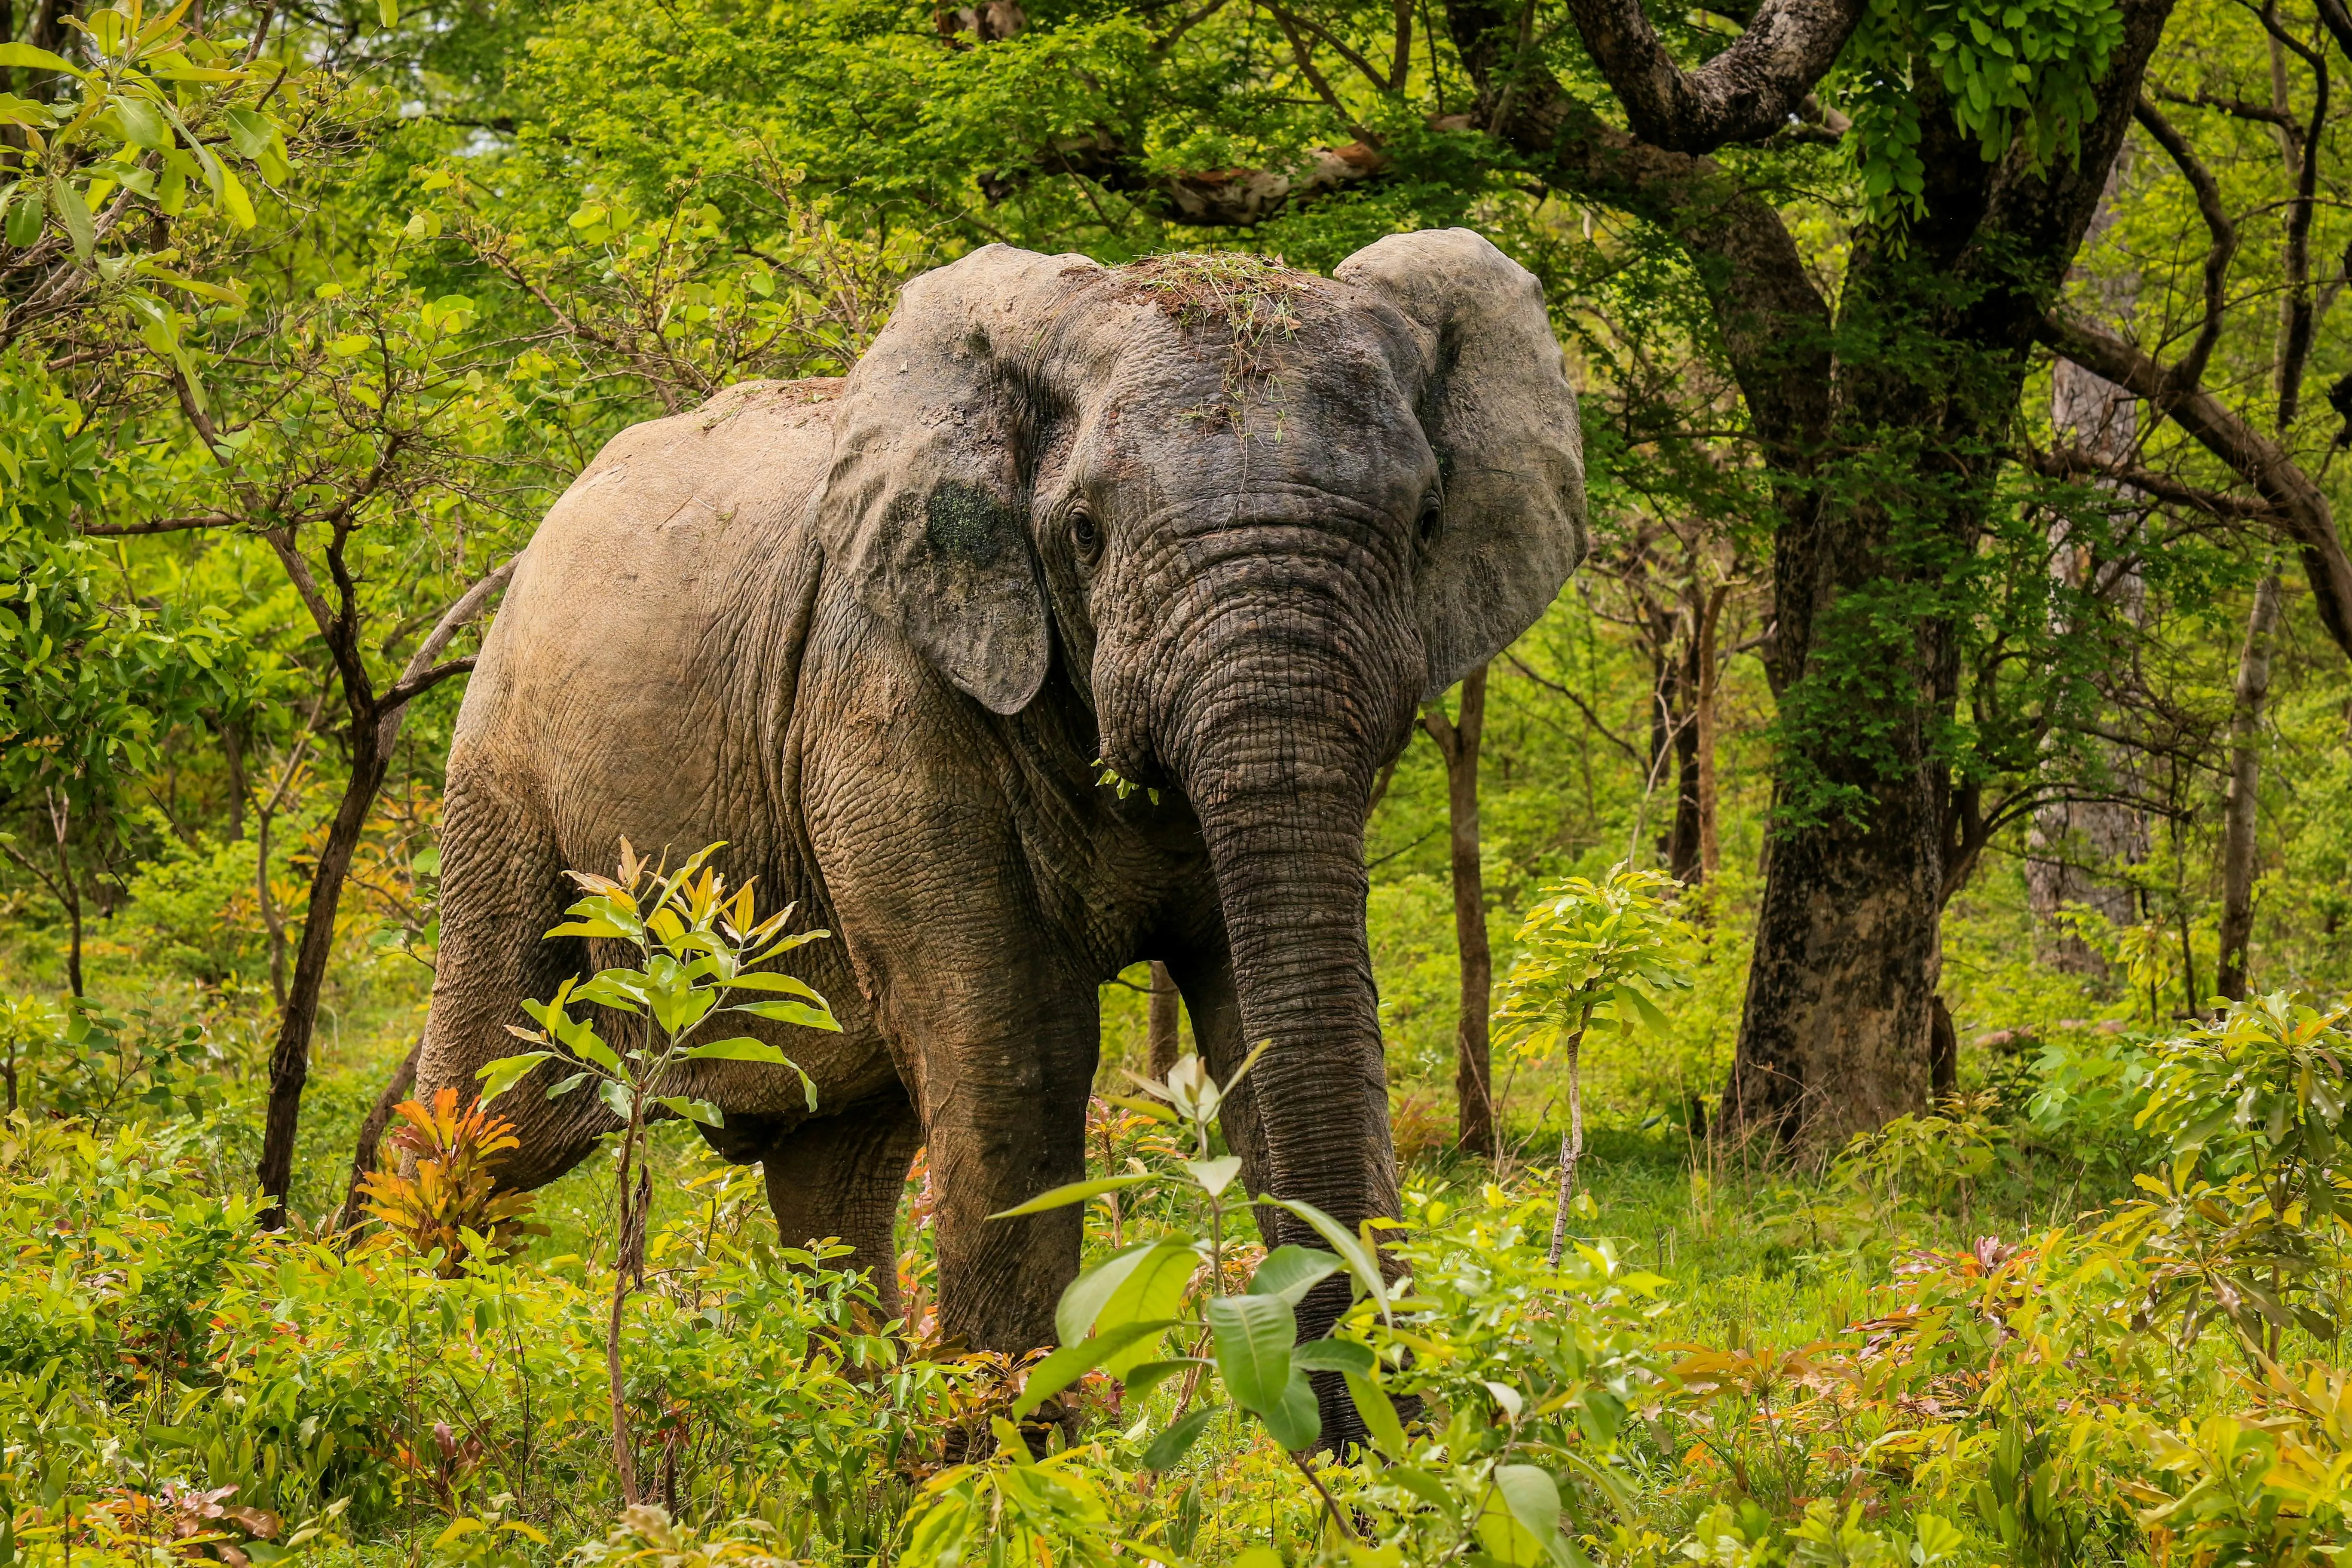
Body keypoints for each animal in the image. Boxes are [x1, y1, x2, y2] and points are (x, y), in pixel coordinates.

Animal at [416, 228, 1586, 1430]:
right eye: (1085, 534)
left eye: (1428, 523)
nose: (1373, 1423)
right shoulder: (889, 696)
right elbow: (1022, 1044)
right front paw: (1022, 1454)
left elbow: (1268, 1027)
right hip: (504, 773)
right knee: (498, 1111)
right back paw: (405, 1337)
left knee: (833, 1176)